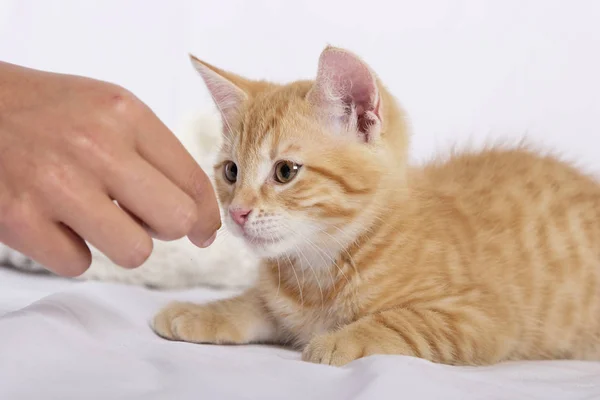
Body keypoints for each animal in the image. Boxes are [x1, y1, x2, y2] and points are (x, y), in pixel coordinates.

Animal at [154, 47, 600, 366]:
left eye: (285, 172)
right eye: (231, 172)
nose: (237, 212)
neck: (322, 267)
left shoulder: (482, 316)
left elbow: (404, 320)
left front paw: (341, 340)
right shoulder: (285, 305)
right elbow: (254, 303)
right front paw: (201, 311)